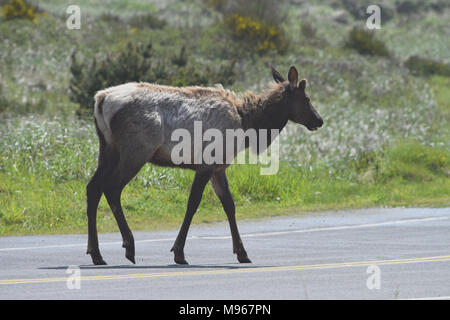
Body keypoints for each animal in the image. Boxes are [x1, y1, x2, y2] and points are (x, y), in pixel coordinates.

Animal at [85, 65, 324, 264]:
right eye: (306, 98)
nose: (319, 120)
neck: (248, 125)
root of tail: (100, 100)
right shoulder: (207, 163)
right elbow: (193, 204)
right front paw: (179, 253)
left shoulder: (219, 167)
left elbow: (229, 205)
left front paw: (242, 253)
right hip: (135, 150)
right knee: (112, 188)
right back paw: (129, 246)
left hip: (108, 149)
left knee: (93, 187)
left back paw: (96, 254)